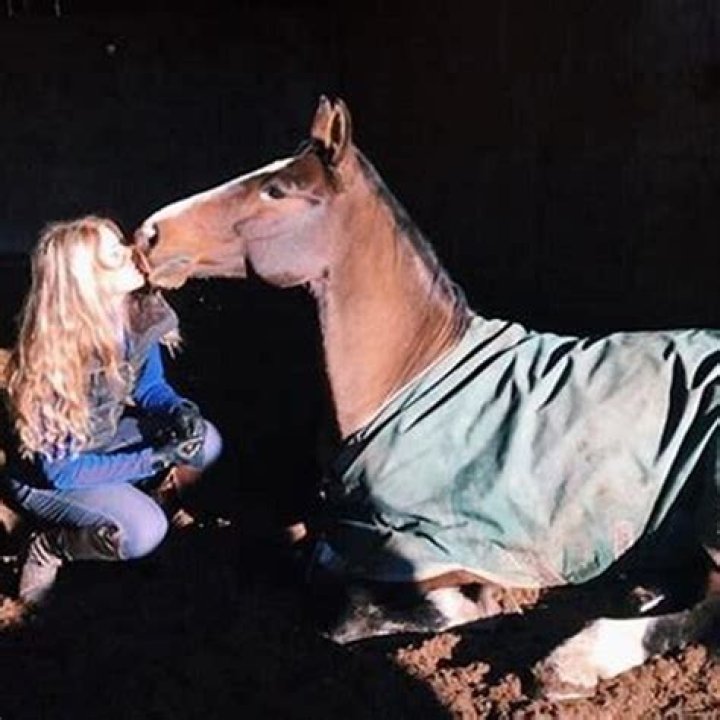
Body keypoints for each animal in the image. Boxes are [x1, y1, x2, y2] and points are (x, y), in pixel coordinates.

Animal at [133, 96, 719, 700]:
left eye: (277, 190)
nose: (150, 234)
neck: (408, 383)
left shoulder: (437, 549)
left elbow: (347, 607)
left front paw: (477, 604)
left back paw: (576, 660)